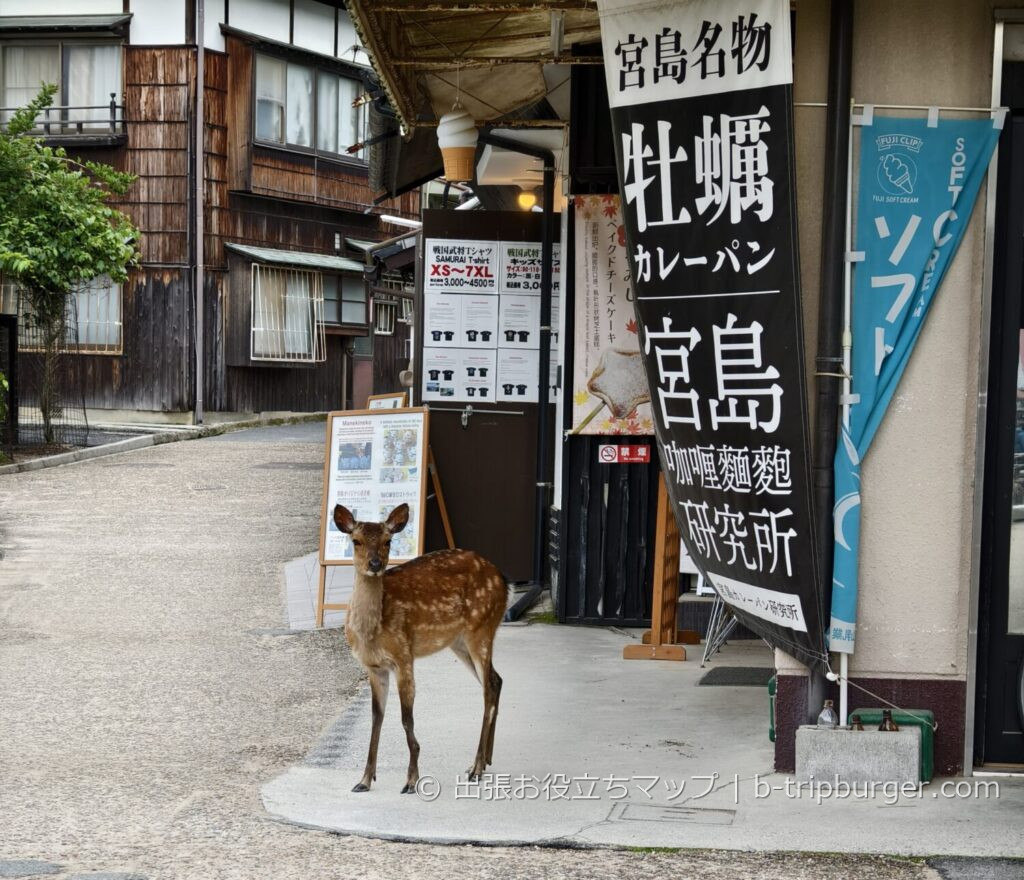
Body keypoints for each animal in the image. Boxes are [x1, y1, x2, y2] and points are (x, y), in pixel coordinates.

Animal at [333, 502, 507, 794]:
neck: (372, 633)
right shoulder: (374, 667)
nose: (375, 564)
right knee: (496, 679)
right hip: (460, 641)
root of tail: (505, 582)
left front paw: (412, 780)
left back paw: (476, 767)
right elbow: (376, 717)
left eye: (388, 541)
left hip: (481, 627)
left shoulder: (403, 655)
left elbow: (406, 718)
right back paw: (485, 761)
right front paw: (364, 780)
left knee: (489, 686)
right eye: (356, 541)